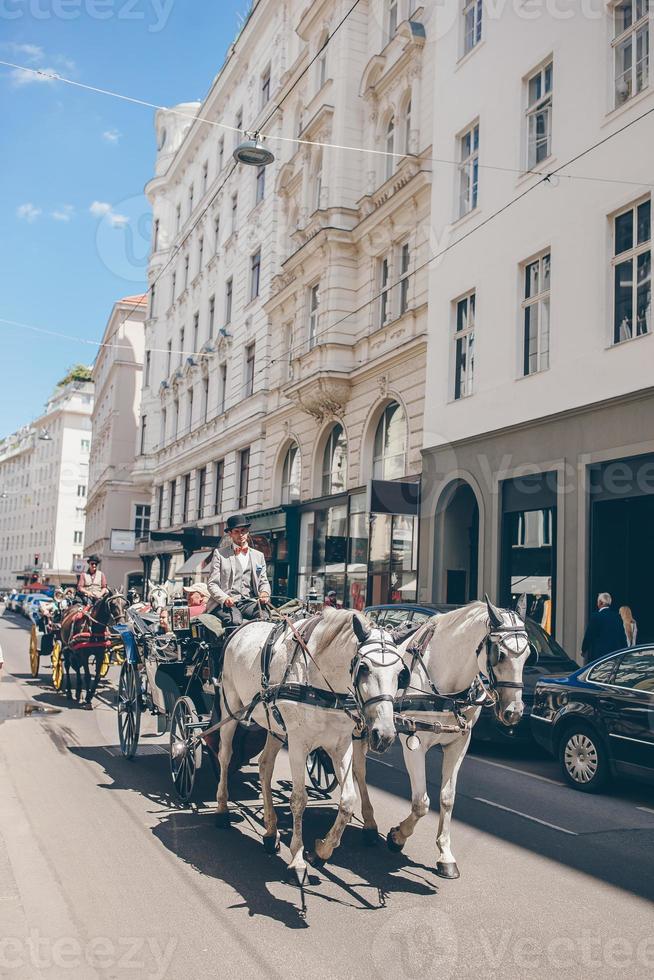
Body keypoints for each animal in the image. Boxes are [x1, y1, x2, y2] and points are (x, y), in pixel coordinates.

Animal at [218, 608, 408, 884]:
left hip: (275, 728)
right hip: (230, 709)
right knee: (224, 756)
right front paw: (298, 859)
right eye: (363, 667)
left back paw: (270, 832)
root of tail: (241, 629)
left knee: (265, 766)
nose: (384, 735)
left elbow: (348, 800)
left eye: (401, 673)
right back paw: (222, 809)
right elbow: (299, 799)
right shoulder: (298, 744)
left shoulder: (341, 745)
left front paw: (322, 851)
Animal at [358, 596, 540, 880]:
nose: (515, 712)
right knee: (359, 771)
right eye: (499, 654)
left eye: (529, 655)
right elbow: (421, 802)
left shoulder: (459, 743)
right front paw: (397, 837)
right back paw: (368, 824)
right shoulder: (414, 743)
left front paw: (445, 855)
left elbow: (447, 798)